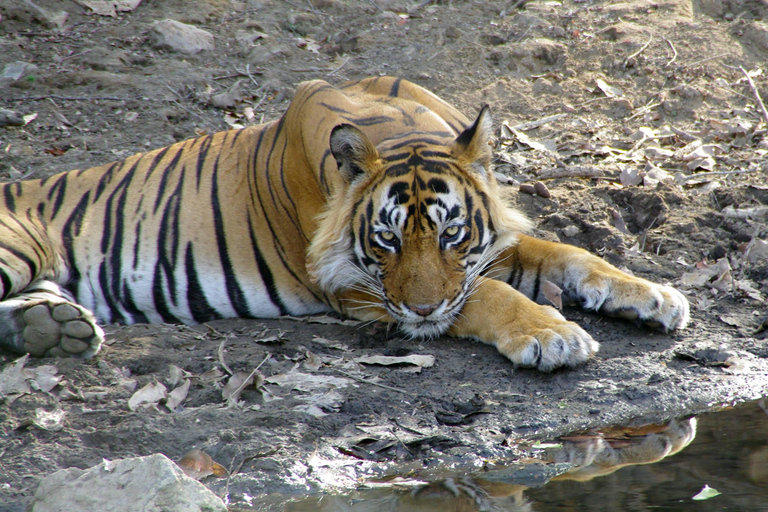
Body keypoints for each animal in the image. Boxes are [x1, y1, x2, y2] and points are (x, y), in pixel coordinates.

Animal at [0, 77, 689, 371]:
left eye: (451, 234)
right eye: (385, 239)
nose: (420, 312)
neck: (401, 128)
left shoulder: (487, 251)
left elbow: (568, 253)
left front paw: (654, 295)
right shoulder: (356, 287)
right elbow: (485, 297)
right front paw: (552, 335)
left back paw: (52, 328)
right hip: (17, 247)